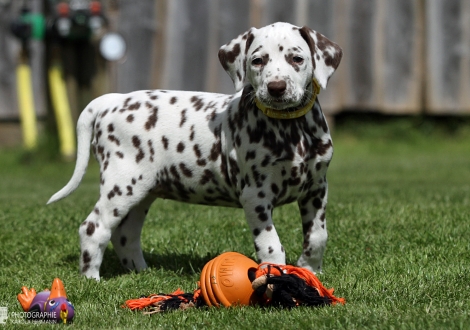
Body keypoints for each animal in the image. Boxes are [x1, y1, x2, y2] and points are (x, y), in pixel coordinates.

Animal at [47, 21, 342, 278]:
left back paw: (142, 273)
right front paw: (277, 278)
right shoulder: (256, 196)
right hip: (122, 185)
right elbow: (271, 245)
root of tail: (111, 100)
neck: (291, 129)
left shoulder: (317, 189)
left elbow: (318, 236)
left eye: (297, 59)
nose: (276, 88)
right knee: (93, 229)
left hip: (142, 192)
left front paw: (310, 270)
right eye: (257, 61)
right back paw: (90, 279)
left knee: (125, 234)